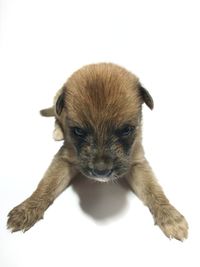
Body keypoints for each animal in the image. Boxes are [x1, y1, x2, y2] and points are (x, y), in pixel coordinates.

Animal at [7, 62, 188, 241]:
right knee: (56, 116)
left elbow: (153, 190)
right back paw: (57, 131)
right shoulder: (65, 158)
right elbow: (46, 185)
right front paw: (26, 209)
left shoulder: (136, 161)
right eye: (78, 131)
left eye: (126, 130)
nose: (101, 171)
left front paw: (170, 216)